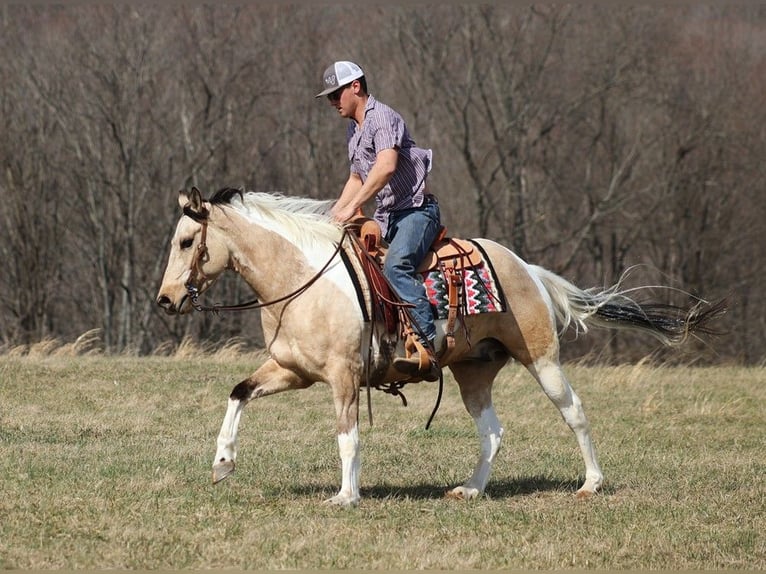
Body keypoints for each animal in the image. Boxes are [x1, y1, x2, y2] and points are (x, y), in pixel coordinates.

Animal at [156, 187, 728, 506]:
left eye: (186, 241)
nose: (165, 299)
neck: (303, 278)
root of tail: (527, 268)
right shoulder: (290, 370)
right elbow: (238, 392)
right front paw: (222, 463)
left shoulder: (343, 376)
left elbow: (348, 436)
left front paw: (346, 496)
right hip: (473, 372)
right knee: (493, 433)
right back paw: (471, 489)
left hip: (542, 358)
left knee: (575, 412)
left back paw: (591, 483)